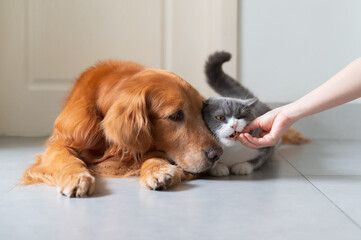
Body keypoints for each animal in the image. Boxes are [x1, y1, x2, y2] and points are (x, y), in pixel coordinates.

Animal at [21, 60, 222, 197]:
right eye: (175, 116)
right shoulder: (60, 142)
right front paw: (76, 177)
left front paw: (157, 169)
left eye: (200, 112)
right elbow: (66, 158)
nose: (217, 154)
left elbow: (149, 153)